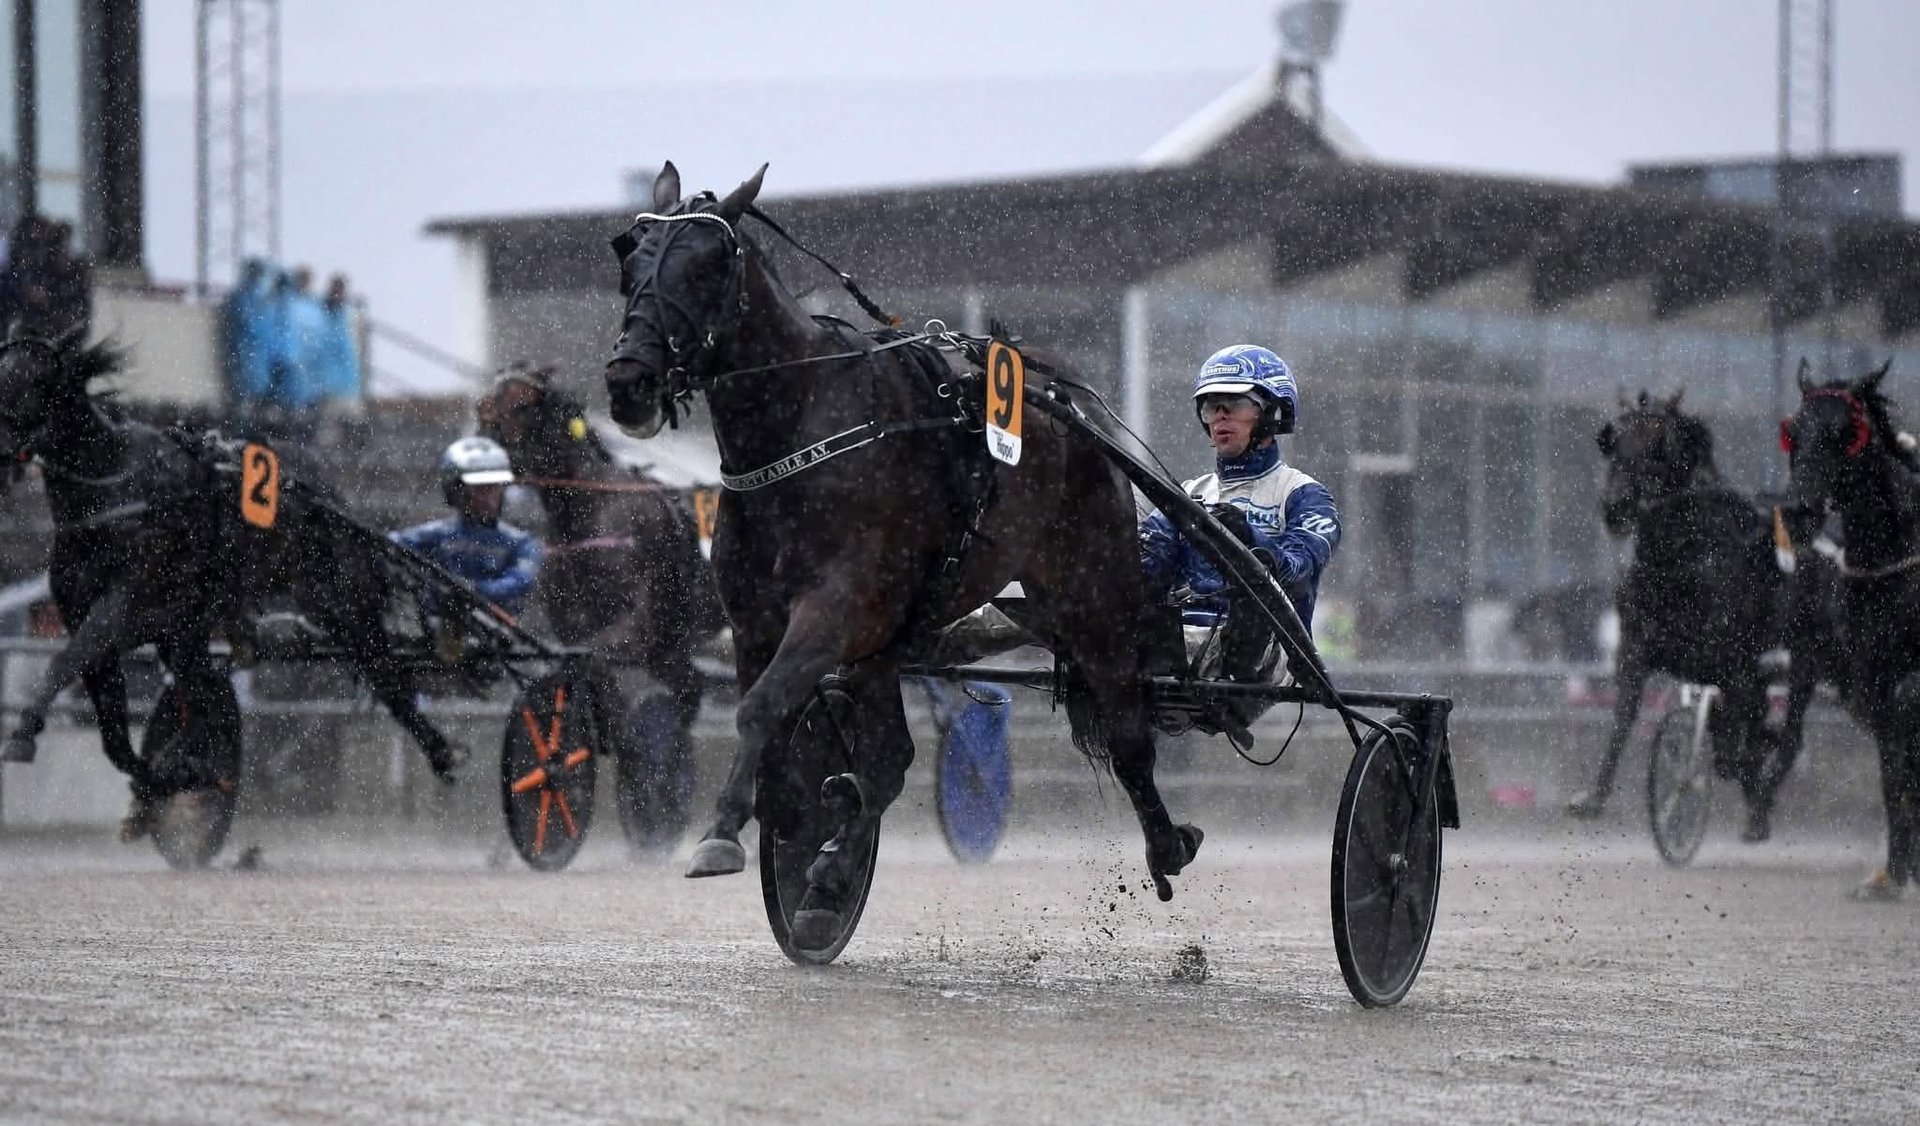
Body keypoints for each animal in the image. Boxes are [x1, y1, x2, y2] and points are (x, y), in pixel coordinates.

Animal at [0, 330, 466, 832]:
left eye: (28, 382)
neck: (114, 489)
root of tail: (336, 499)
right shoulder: (103, 620)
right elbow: (113, 732)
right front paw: (171, 776)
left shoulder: (126, 605)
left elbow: (63, 661)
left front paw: (22, 733)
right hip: (195, 633)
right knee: (202, 691)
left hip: (345, 607)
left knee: (387, 677)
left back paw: (441, 752)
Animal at [476, 363, 725, 848]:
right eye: (483, 405)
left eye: (520, 403)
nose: (479, 445)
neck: (589, 511)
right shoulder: (586, 632)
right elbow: (603, 692)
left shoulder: (632, 631)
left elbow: (596, 669)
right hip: (671, 648)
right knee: (688, 691)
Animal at [602, 162, 1201, 946]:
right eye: (631, 261)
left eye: (705, 266)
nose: (628, 381)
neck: (800, 432)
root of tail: (1066, 404)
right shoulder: (758, 618)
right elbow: (781, 723)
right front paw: (793, 816)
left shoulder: (834, 609)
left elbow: (761, 709)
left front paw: (725, 833)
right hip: (895, 636)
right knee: (890, 759)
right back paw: (829, 876)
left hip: (1089, 591)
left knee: (1128, 730)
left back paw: (1166, 843)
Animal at [1565, 390, 1837, 843]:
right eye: (1613, 442)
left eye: (1660, 448)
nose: (1616, 507)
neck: (1678, 559)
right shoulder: (1639, 647)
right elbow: (1625, 716)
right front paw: (1593, 798)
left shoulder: (1727, 658)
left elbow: (1739, 731)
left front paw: (1744, 780)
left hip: (1805, 659)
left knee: (1789, 731)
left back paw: (1759, 803)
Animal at [1782, 360, 1920, 898]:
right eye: (1794, 432)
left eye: (1845, 432)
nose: (1797, 512)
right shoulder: (1872, 681)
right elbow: (1893, 778)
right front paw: (1892, 874)